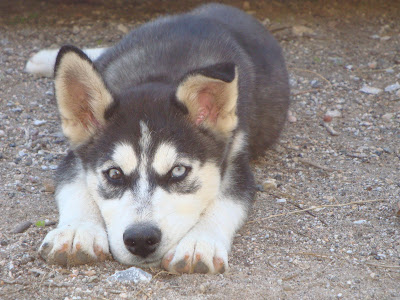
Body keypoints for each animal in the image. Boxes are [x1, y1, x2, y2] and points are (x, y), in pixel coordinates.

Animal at [36, 2, 290, 274]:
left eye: (178, 171)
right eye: (114, 174)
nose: (140, 239)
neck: (159, 76)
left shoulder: (235, 157)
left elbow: (225, 201)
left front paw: (199, 243)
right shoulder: (75, 156)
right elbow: (75, 186)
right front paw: (76, 232)